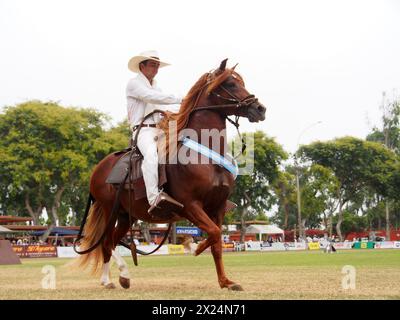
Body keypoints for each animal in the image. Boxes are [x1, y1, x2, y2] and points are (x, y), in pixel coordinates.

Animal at [77, 59, 268, 290]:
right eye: (230, 84)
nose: (260, 108)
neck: (206, 157)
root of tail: (98, 169)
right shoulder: (190, 205)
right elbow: (214, 233)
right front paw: (193, 247)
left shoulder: (218, 207)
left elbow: (217, 243)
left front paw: (226, 281)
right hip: (109, 210)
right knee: (105, 242)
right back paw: (115, 277)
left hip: (125, 216)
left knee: (111, 241)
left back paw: (114, 279)